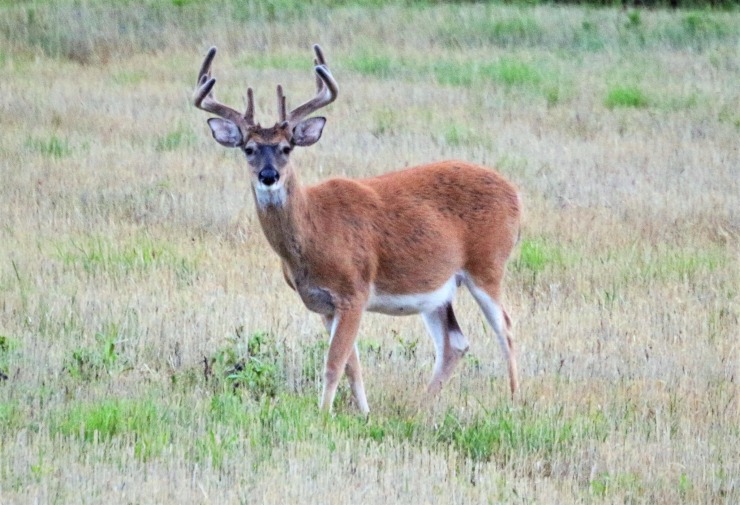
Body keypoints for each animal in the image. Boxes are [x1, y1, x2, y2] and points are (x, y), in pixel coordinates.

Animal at [194, 43, 524, 414]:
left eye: (286, 148)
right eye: (248, 149)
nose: (269, 176)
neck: (315, 231)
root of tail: (515, 194)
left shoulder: (354, 290)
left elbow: (334, 363)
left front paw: (323, 414)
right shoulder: (324, 304)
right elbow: (352, 364)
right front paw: (363, 413)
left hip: (488, 264)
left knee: (506, 327)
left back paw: (514, 401)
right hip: (438, 287)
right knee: (455, 342)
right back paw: (419, 406)